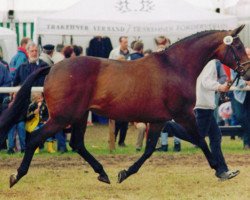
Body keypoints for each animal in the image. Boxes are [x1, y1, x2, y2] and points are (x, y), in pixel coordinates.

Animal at [0, 25, 250, 188]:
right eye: (237, 45)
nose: (247, 72)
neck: (175, 67)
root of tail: (52, 68)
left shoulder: (159, 120)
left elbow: (149, 149)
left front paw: (125, 173)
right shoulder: (183, 114)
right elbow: (201, 140)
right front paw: (222, 171)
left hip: (79, 115)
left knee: (77, 143)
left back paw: (103, 174)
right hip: (62, 117)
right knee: (36, 138)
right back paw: (16, 176)